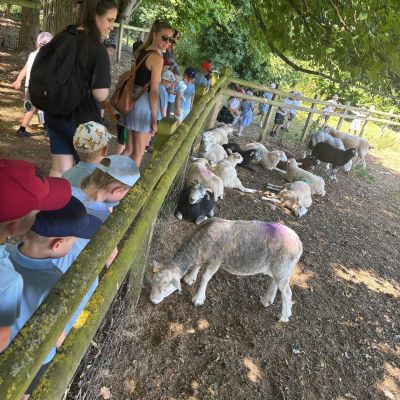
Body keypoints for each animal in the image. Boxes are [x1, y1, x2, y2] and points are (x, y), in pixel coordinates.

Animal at [150, 218, 303, 322]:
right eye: (152, 282)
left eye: (165, 289)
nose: (152, 301)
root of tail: (299, 242)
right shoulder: (202, 255)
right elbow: (197, 266)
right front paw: (190, 278)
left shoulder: (216, 260)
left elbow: (205, 277)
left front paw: (198, 298)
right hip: (277, 268)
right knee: (274, 282)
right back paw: (267, 300)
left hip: (283, 267)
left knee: (287, 293)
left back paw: (284, 316)